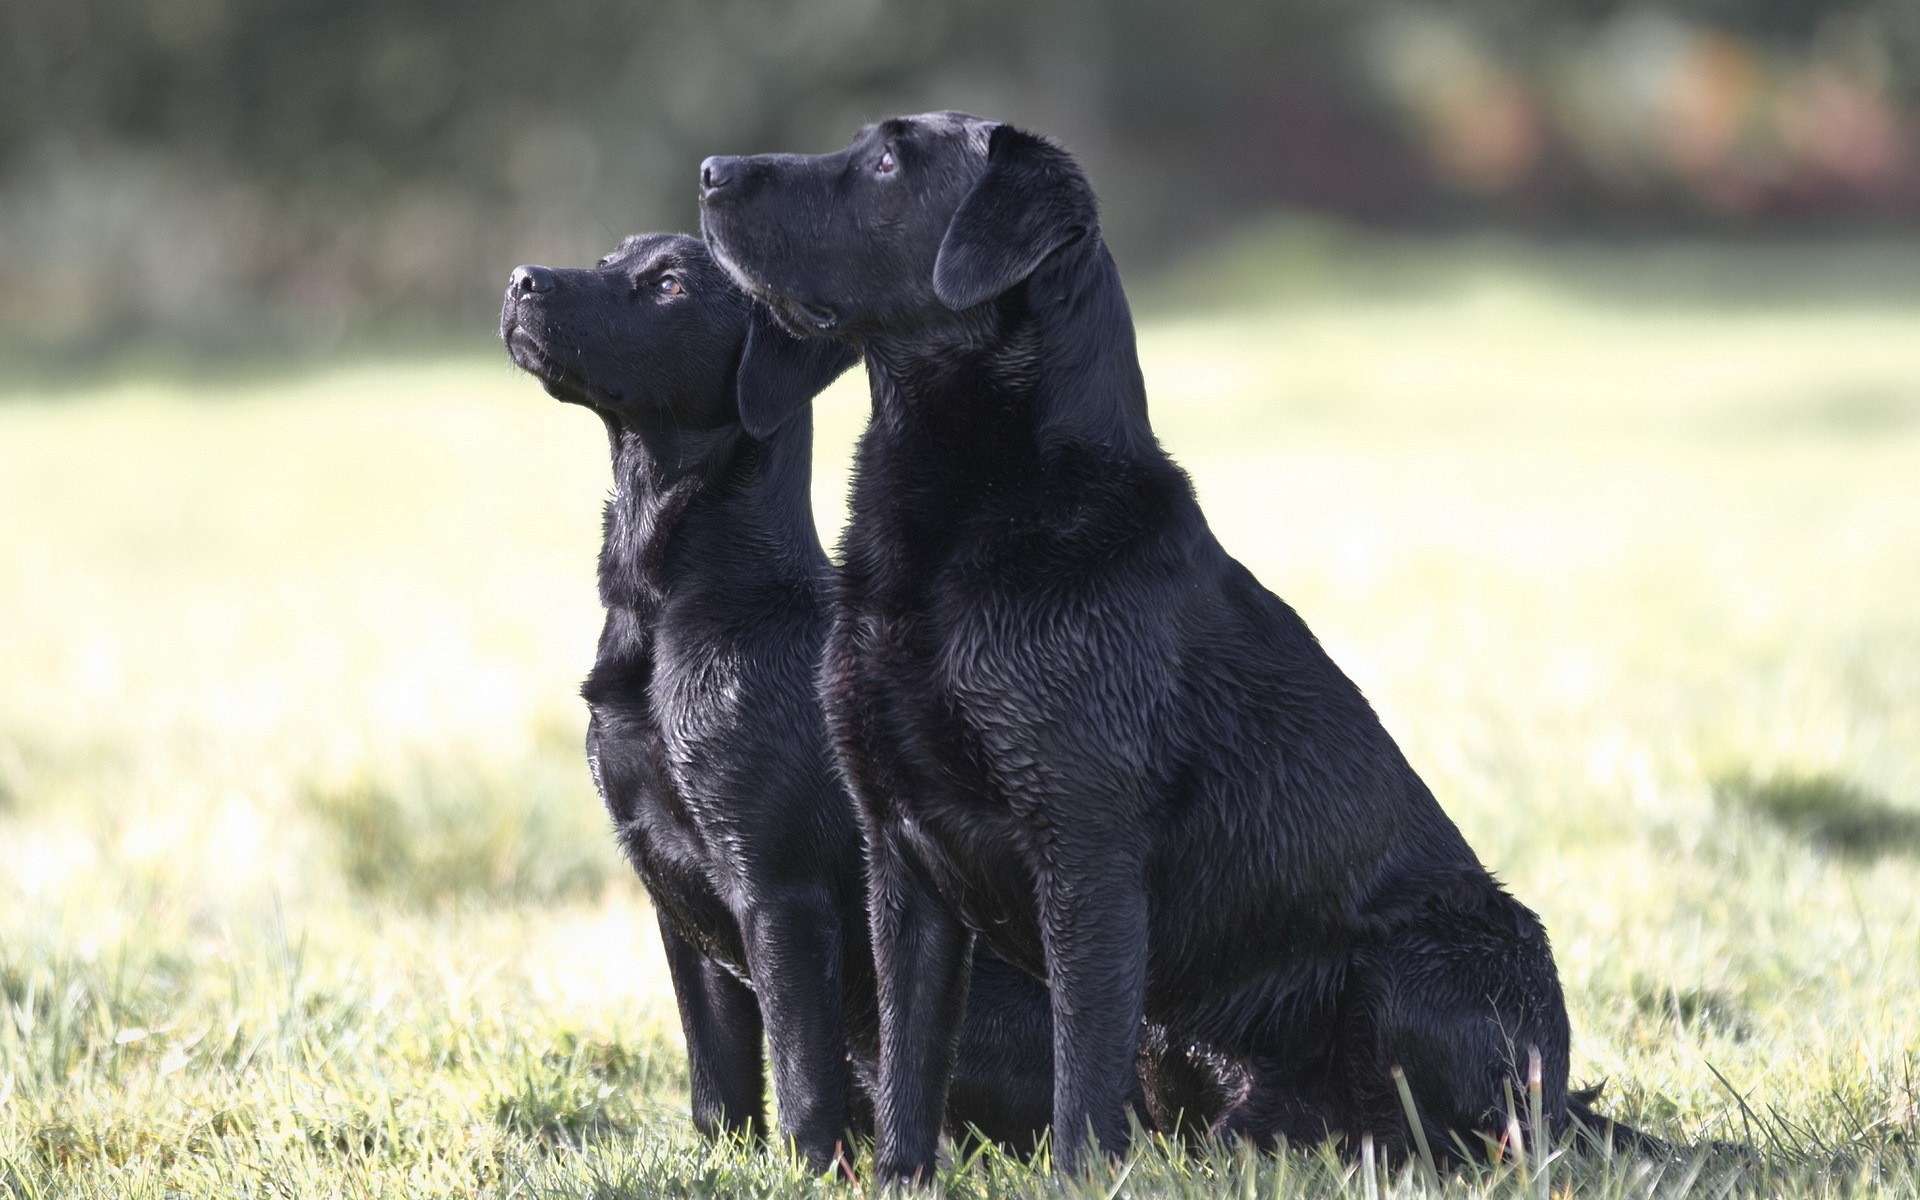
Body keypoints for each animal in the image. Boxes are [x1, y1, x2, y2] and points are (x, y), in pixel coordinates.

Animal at [499, 234, 1052, 1167]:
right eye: (612, 257)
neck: (674, 608)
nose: (518, 281)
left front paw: (803, 1172)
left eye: (670, 286)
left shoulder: (778, 892)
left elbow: (798, 1083)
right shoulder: (673, 893)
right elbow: (717, 1085)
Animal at [695, 117, 1635, 1175]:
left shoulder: (1085, 843)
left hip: (1430, 961)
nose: (711, 174)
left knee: (1465, 1132)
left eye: (890, 161)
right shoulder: (898, 854)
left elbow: (1080, 1067)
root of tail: (1577, 1106)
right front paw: (898, 1177)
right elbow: (907, 1059)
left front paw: (1077, 1181)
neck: (971, 526)